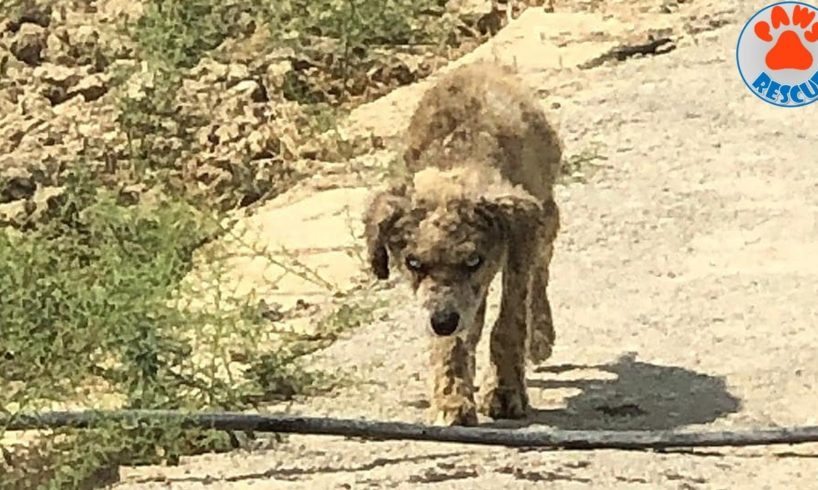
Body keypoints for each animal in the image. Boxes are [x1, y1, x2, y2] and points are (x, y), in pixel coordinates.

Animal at [364, 61, 560, 424]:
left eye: (473, 260)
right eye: (413, 263)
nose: (443, 321)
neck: (459, 159)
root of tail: (481, 64)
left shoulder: (520, 245)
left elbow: (510, 320)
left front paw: (504, 388)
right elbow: (451, 342)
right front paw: (452, 398)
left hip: (548, 217)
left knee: (542, 271)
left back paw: (541, 335)